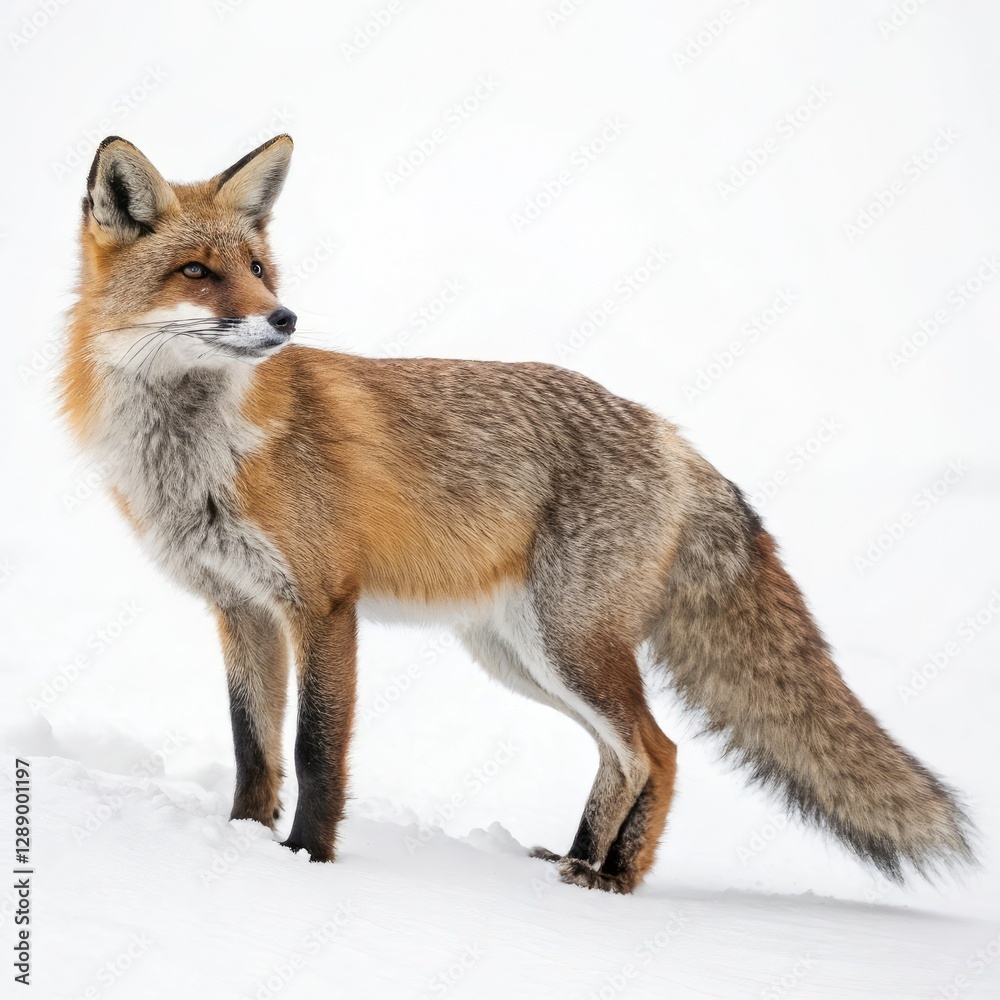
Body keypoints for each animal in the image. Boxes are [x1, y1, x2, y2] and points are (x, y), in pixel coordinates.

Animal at [59, 133, 974, 894]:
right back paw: (578, 860)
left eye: (257, 269)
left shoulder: (323, 605)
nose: (284, 318)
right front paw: (243, 843)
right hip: (520, 654)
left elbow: (316, 753)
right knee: (621, 757)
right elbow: (254, 749)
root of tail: (672, 436)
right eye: (197, 272)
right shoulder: (239, 608)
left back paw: (615, 880)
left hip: (568, 645)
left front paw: (307, 861)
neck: (202, 454)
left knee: (660, 750)